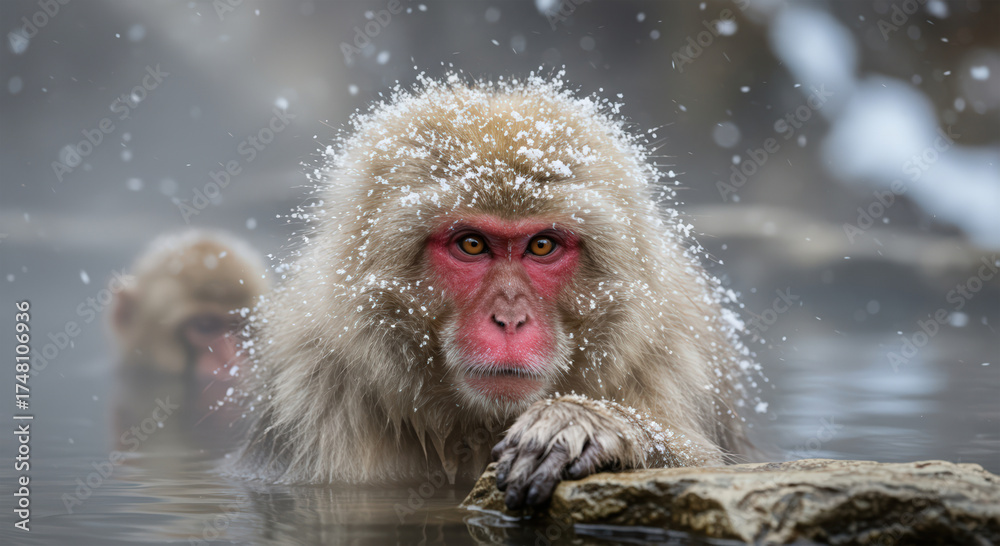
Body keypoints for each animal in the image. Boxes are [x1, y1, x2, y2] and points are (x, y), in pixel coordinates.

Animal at [234, 73, 763, 510]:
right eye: (472, 244)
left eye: (542, 245)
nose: (510, 320)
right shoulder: (314, 396)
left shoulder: (674, 357)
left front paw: (586, 425)